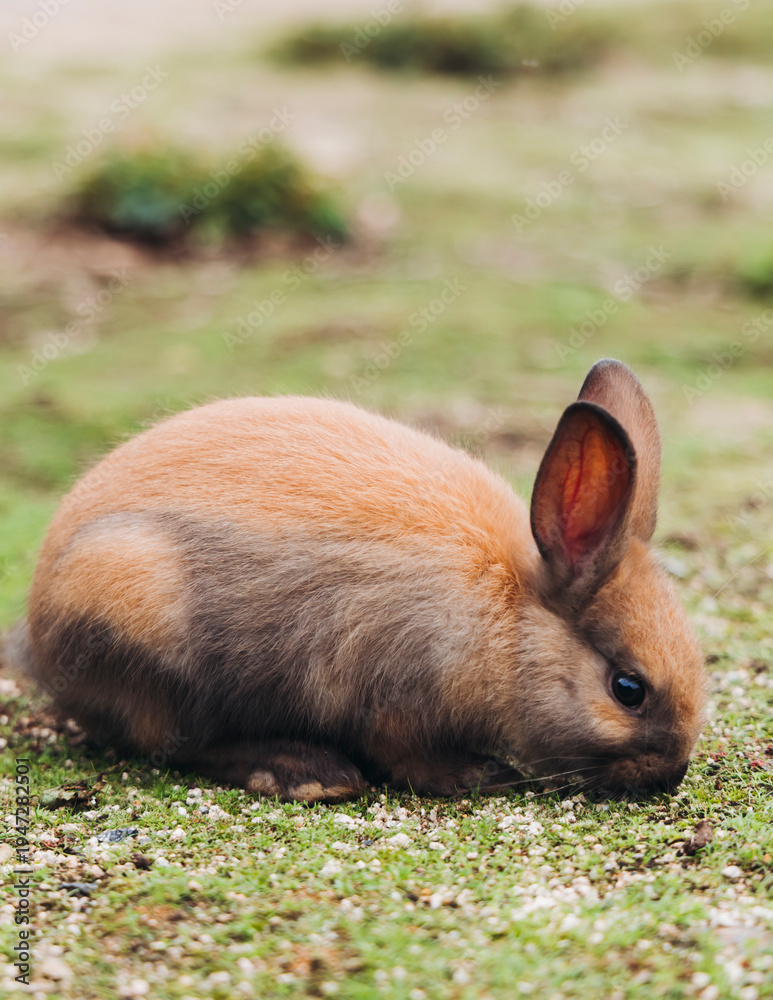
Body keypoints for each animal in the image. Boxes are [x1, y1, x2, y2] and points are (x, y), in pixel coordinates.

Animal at [23, 359, 706, 802]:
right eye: (628, 689)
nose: (671, 773)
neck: (510, 617)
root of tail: (41, 627)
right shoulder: (395, 694)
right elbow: (405, 756)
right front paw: (480, 776)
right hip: (146, 622)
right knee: (176, 740)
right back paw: (311, 774)